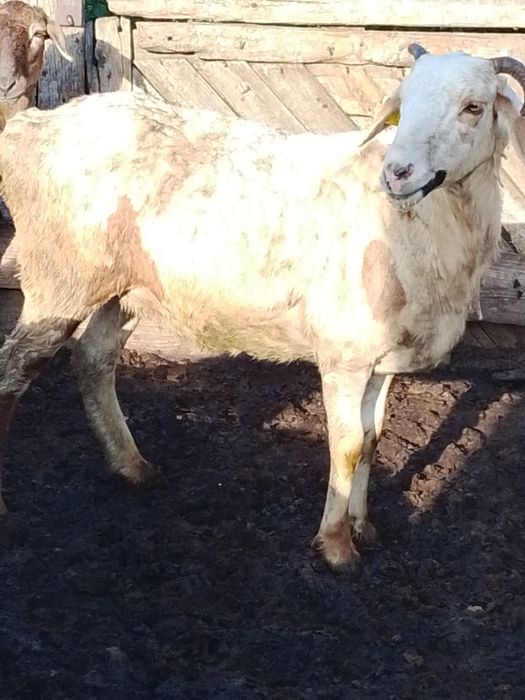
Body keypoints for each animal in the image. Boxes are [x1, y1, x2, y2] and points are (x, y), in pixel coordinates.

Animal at [0, 45, 523, 570]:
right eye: (405, 101)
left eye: (474, 107)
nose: (397, 173)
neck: (418, 223)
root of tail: (33, 126)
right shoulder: (344, 355)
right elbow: (348, 446)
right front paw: (336, 545)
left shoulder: (381, 358)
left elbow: (373, 439)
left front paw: (363, 527)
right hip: (59, 274)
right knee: (15, 368)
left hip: (124, 287)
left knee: (93, 356)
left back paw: (132, 465)